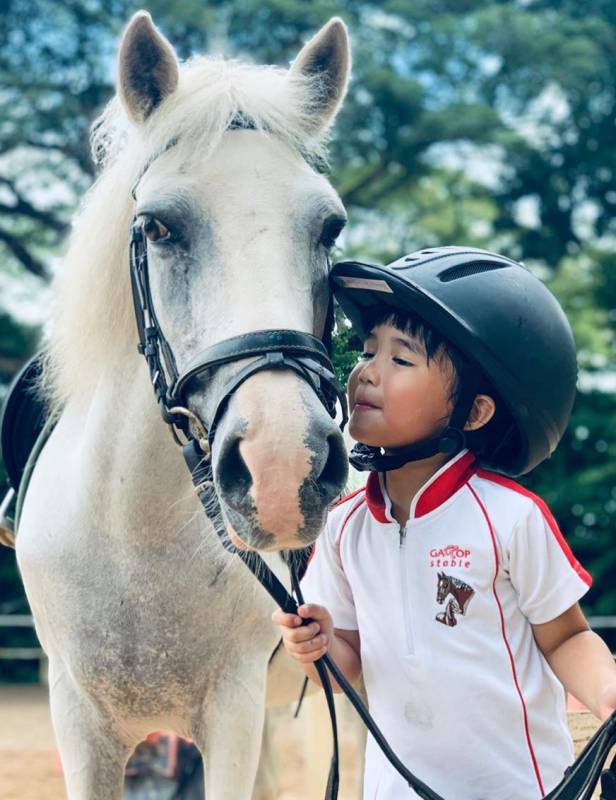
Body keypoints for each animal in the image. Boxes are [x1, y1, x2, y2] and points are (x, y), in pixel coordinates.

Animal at [14, 12, 351, 799]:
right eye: (158, 227)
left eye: (329, 229)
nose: (282, 467)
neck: (132, 538)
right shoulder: (79, 722)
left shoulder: (234, 711)